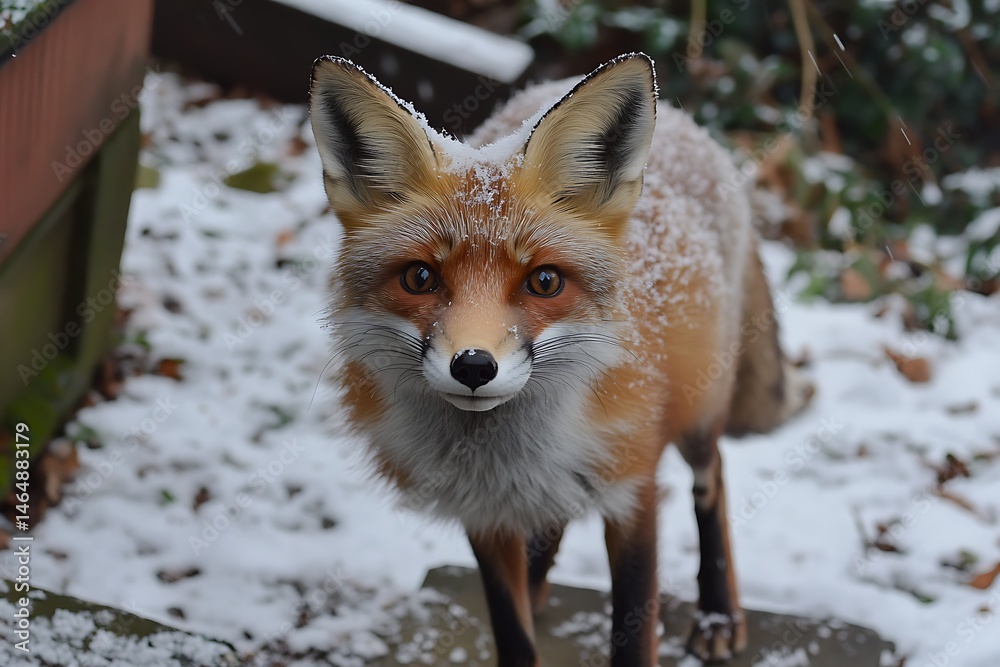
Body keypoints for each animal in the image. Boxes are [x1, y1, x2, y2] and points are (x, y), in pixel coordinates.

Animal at [309, 53, 810, 666]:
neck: (505, 457)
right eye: (419, 278)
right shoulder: (484, 512)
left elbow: (632, 634)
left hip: (698, 410)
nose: (473, 367)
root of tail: (692, 126)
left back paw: (718, 612)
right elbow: (513, 634)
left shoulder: (632, 489)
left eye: (544, 282)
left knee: (711, 479)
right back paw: (540, 577)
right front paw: (526, 593)